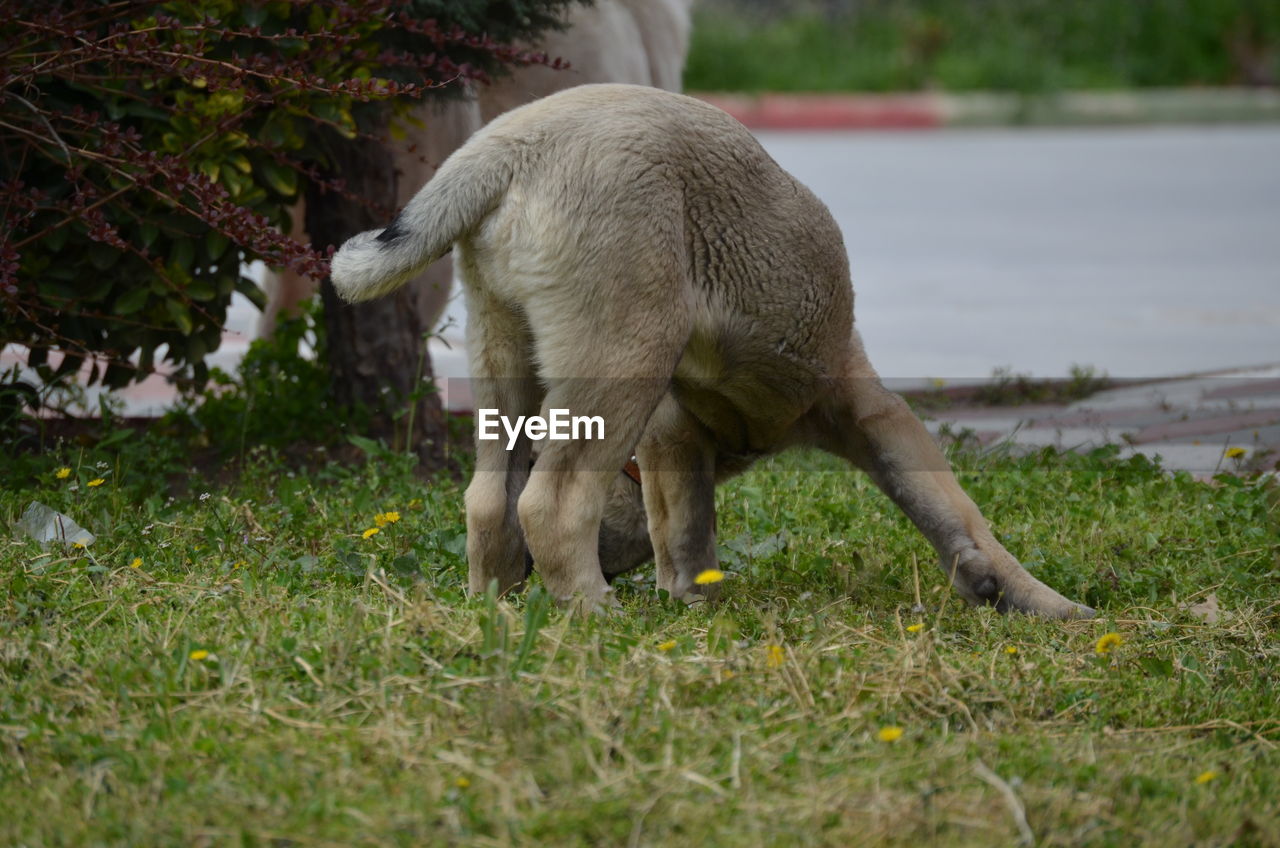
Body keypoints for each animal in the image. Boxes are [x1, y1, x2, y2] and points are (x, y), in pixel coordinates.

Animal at [327, 84, 1090, 617]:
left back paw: (495, 600)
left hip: (502, 358)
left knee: (492, 496)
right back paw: (594, 611)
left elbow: (691, 531)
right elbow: (954, 510)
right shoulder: (866, 406)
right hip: (625, 356)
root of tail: (511, 147)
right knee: (552, 502)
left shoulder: (678, 440)